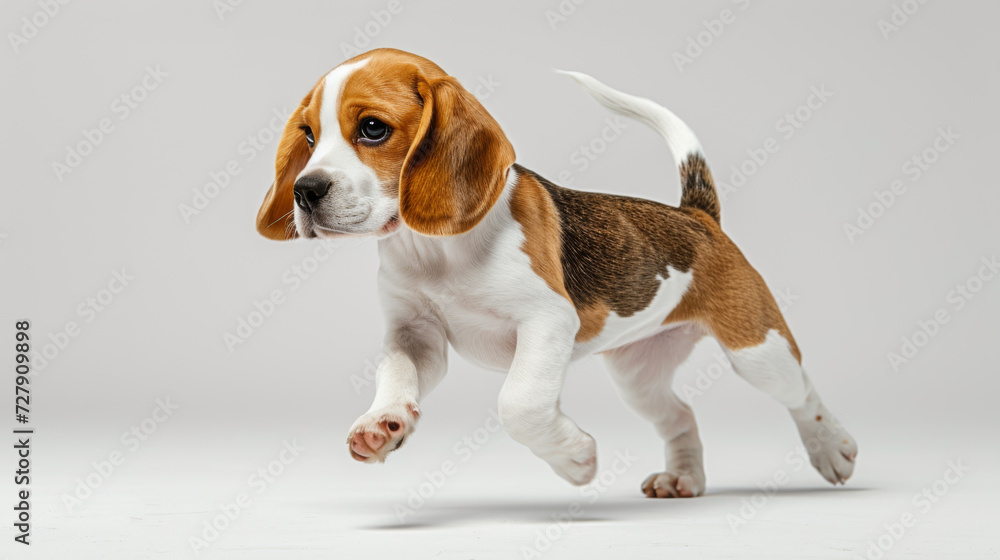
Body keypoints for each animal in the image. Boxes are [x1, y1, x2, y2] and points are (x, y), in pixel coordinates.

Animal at [258, 49, 860, 498]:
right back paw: (684, 477)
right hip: (639, 375)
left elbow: (520, 404)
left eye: (372, 129)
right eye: (309, 136)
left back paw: (833, 450)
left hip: (756, 349)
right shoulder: (415, 333)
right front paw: (384, 424)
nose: (304, 191)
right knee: (680, 415)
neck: (435, 249)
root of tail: (695, 215)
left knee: (802, 393)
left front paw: (576, 459)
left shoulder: (546, 321)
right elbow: (398, 374)